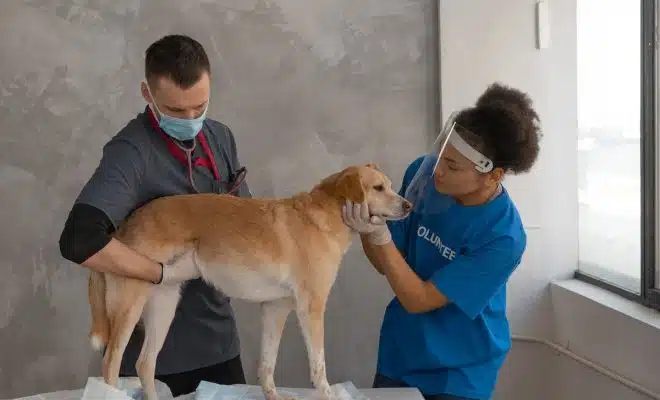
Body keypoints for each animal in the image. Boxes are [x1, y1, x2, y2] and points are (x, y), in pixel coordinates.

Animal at [87, 163, 412, 400]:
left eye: (390, 185)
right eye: (378, 188)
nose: (408, 205)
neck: (325, 214)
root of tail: (122, 227)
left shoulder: (275, 308)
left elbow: (267, 363)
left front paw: (273, 396)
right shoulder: (311, 307)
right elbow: (319, 364)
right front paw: (328, 395)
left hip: (163, 307)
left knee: (145, 363)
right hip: (129, 307)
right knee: (111, 364)